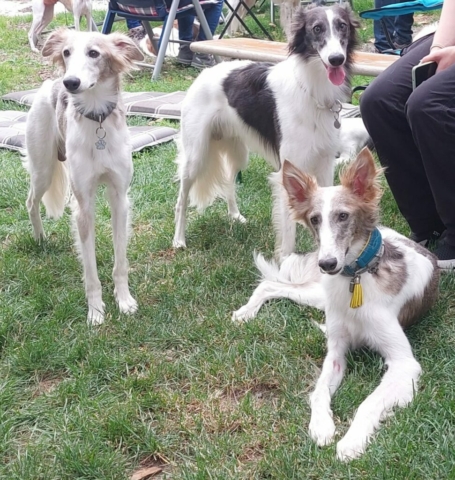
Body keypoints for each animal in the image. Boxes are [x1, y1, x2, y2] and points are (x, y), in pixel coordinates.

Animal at [24, 29, 144, 325]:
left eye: (94, 53)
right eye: (67, 52)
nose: (71, 82)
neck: (96, 117)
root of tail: (51, 83)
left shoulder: (119, 198)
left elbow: (120, 262)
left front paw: (124, 301)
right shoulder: (83, 205)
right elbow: (90, 272)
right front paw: (96, 311)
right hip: (42, 169)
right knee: (31, 202)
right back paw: (40, 239)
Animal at [173, 4, 359, 260]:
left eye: (342, 26)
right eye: (317, 28)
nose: (336, 59)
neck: (312, 88)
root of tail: (203, 74)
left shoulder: (324, 163)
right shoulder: (287, 171)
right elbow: (288, 235)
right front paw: (285, 264)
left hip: (238, 152)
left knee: (228, 182)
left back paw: (235, 216)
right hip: (196, 156)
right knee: (181, 199)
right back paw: (179, 240)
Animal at [233, 147, 440, 460]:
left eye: (343, 216)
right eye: (315, 219)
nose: (327, 264)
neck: (357, 279)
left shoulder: (405, 364)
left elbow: (369, 402)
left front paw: (351, 442)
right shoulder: (337, 350)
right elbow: (318, 392)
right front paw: (321, 427)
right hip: (320, 293)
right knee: (271, 284)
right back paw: (245, 312)